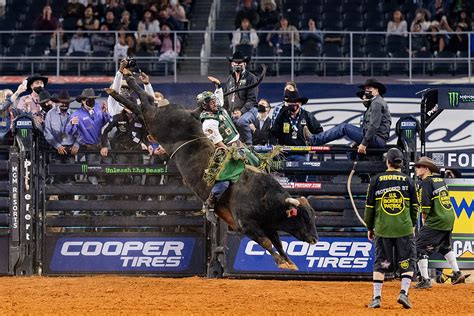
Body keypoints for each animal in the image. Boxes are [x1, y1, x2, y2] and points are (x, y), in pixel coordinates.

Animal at [103, 73, 318, 270]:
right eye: (303, 217)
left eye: (312, 216)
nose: (315, 238)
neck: (263, 195)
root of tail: (191, 113)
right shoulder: (246, 224)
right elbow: (266, 242)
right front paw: (281, 262)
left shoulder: (269, 225)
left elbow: (278, 243)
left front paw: (289, 262)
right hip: (157, 121)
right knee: (145, 104)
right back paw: (121, 85)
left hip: (153, 125)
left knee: (142, 106)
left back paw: (122, 83)